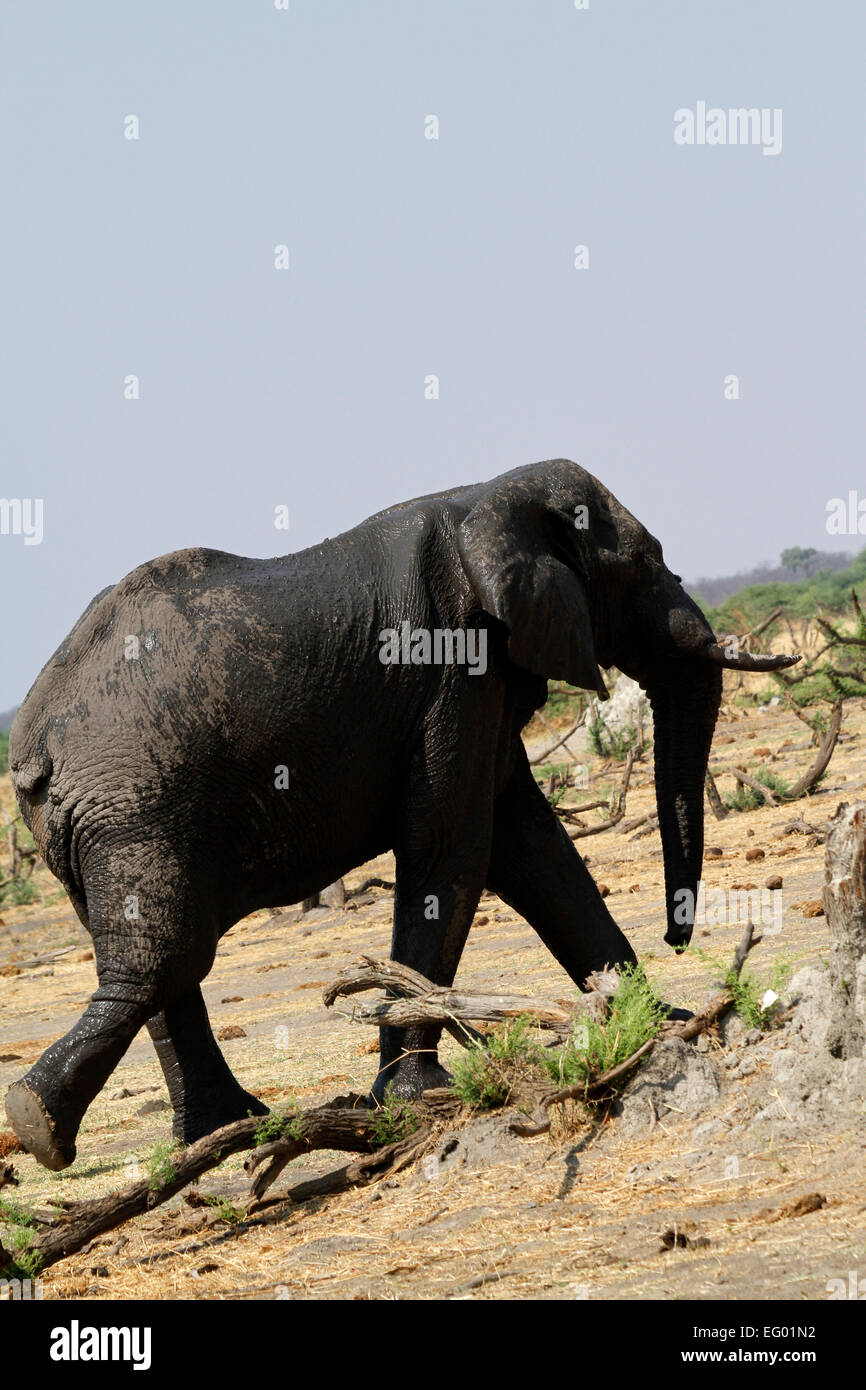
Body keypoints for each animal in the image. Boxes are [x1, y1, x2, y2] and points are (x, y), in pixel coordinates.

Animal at [5, 458, 798, 1170]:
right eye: (646, 561)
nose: (676, 938)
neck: (485, 498)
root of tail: (34, 743)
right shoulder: (453, 663)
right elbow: (455, 848)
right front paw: (423, 1095)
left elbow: (532, 850)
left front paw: (654, 1026)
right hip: (135, 799)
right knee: (166, 955)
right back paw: (42, 1125)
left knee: (165, 960)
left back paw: (221, 1130)